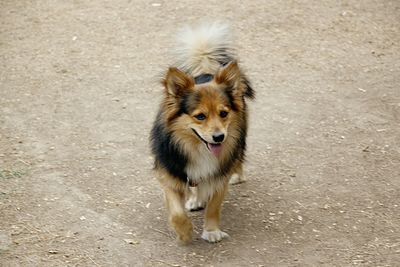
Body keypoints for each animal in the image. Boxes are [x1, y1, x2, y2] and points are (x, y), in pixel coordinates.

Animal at [150, 22, 253, 245]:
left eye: (223, 113)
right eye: (200, 116)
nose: (219, 137)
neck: (197, 148)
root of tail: (206, 70)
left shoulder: (219, 177)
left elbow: (214, 206)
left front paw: (212, 230)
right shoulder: (170, 174)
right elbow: (176, 213)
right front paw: (184, 232)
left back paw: (237, 175)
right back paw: (195, 200)